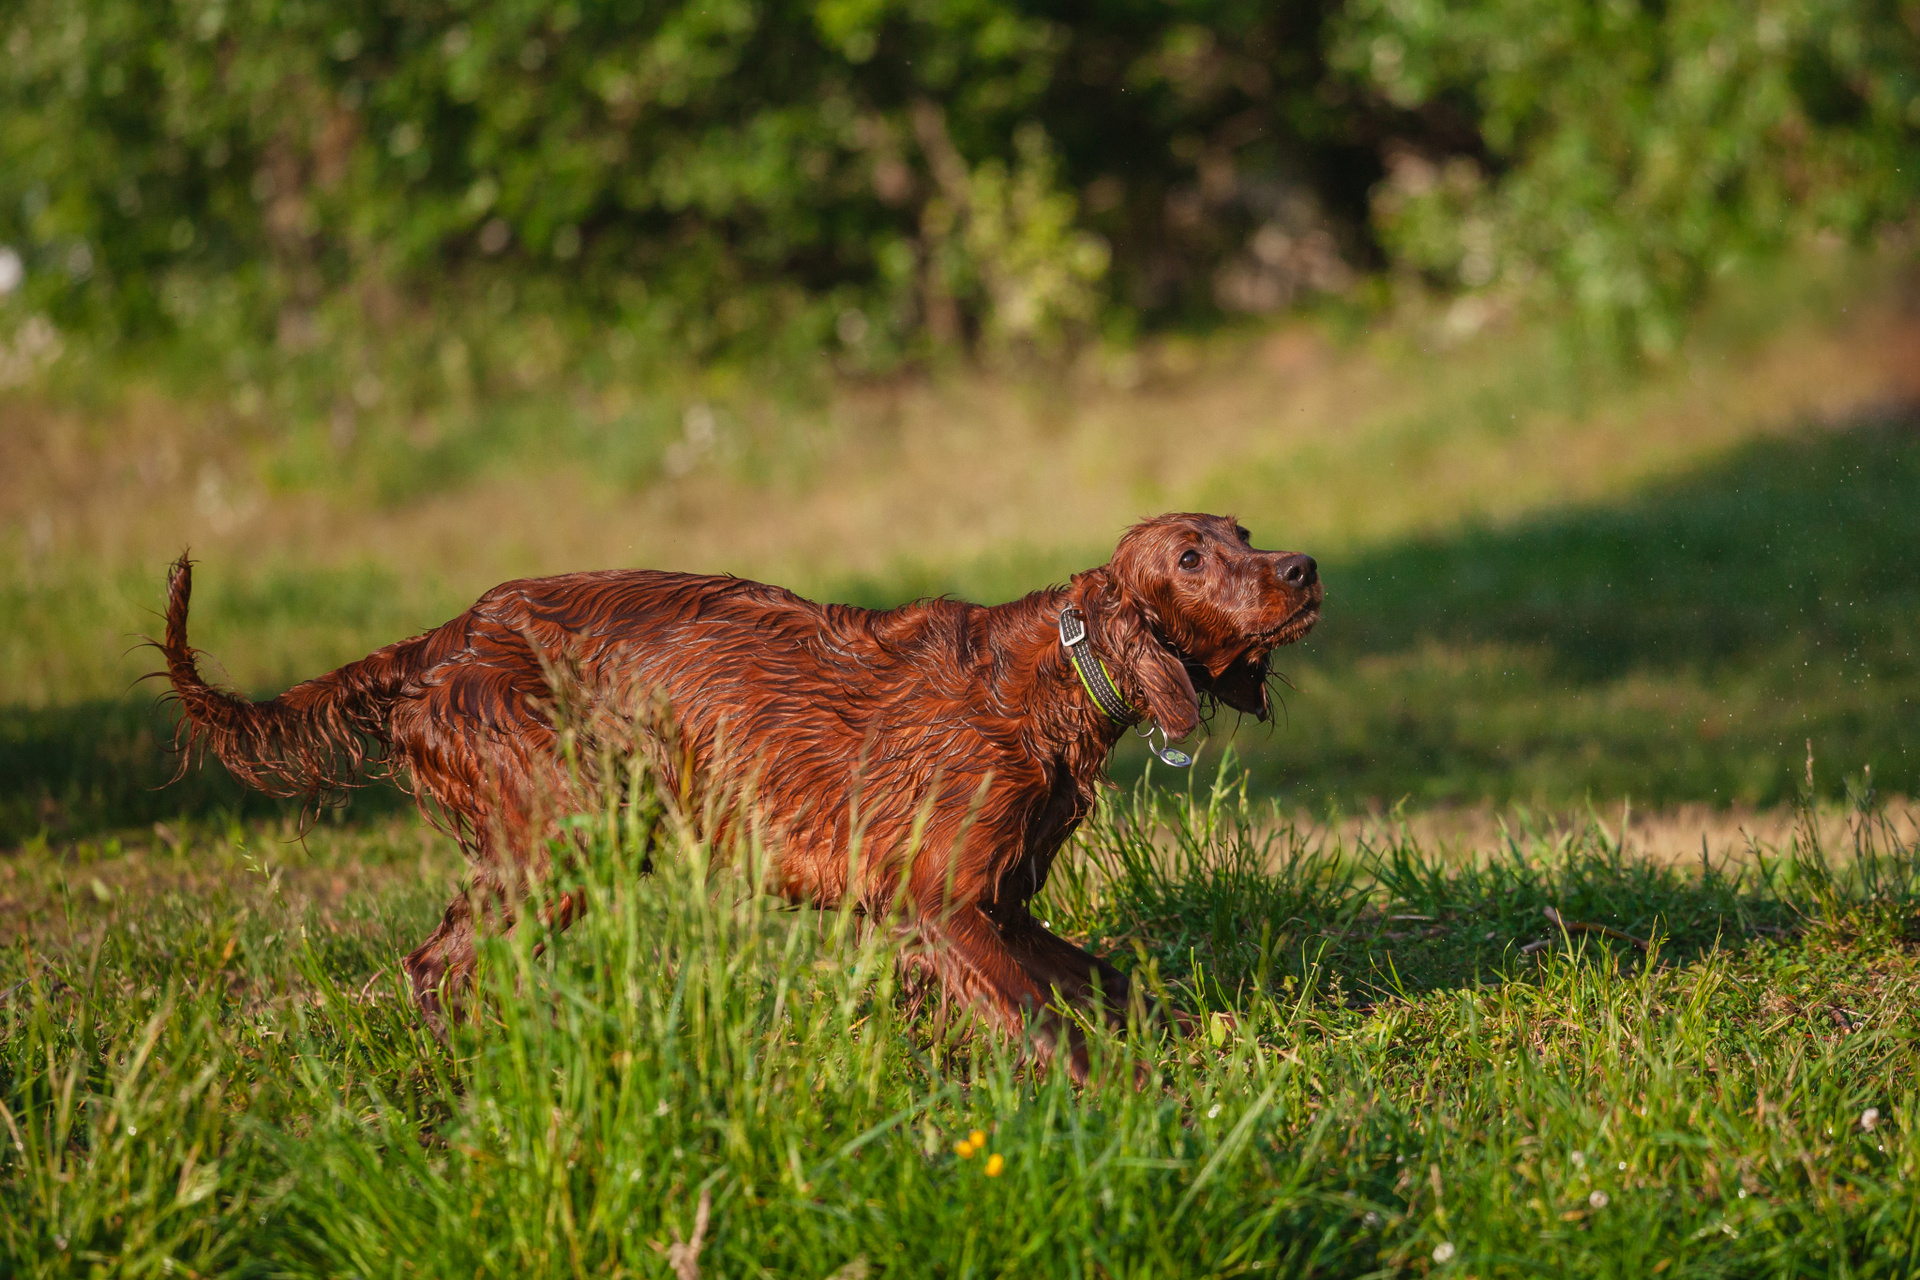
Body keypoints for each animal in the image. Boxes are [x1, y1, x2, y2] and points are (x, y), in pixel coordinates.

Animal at [159, 513, 1320, 1079]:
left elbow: (1113, 986)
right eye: (1190, 556)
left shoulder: (994, 905)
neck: (1052, 674)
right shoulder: (943, 905)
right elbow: (1052, 1028)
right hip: (569, 835)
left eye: (1244, 531)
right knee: (439, 965)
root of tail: (440, 640)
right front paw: (1143, 1109)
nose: (1305, 567)